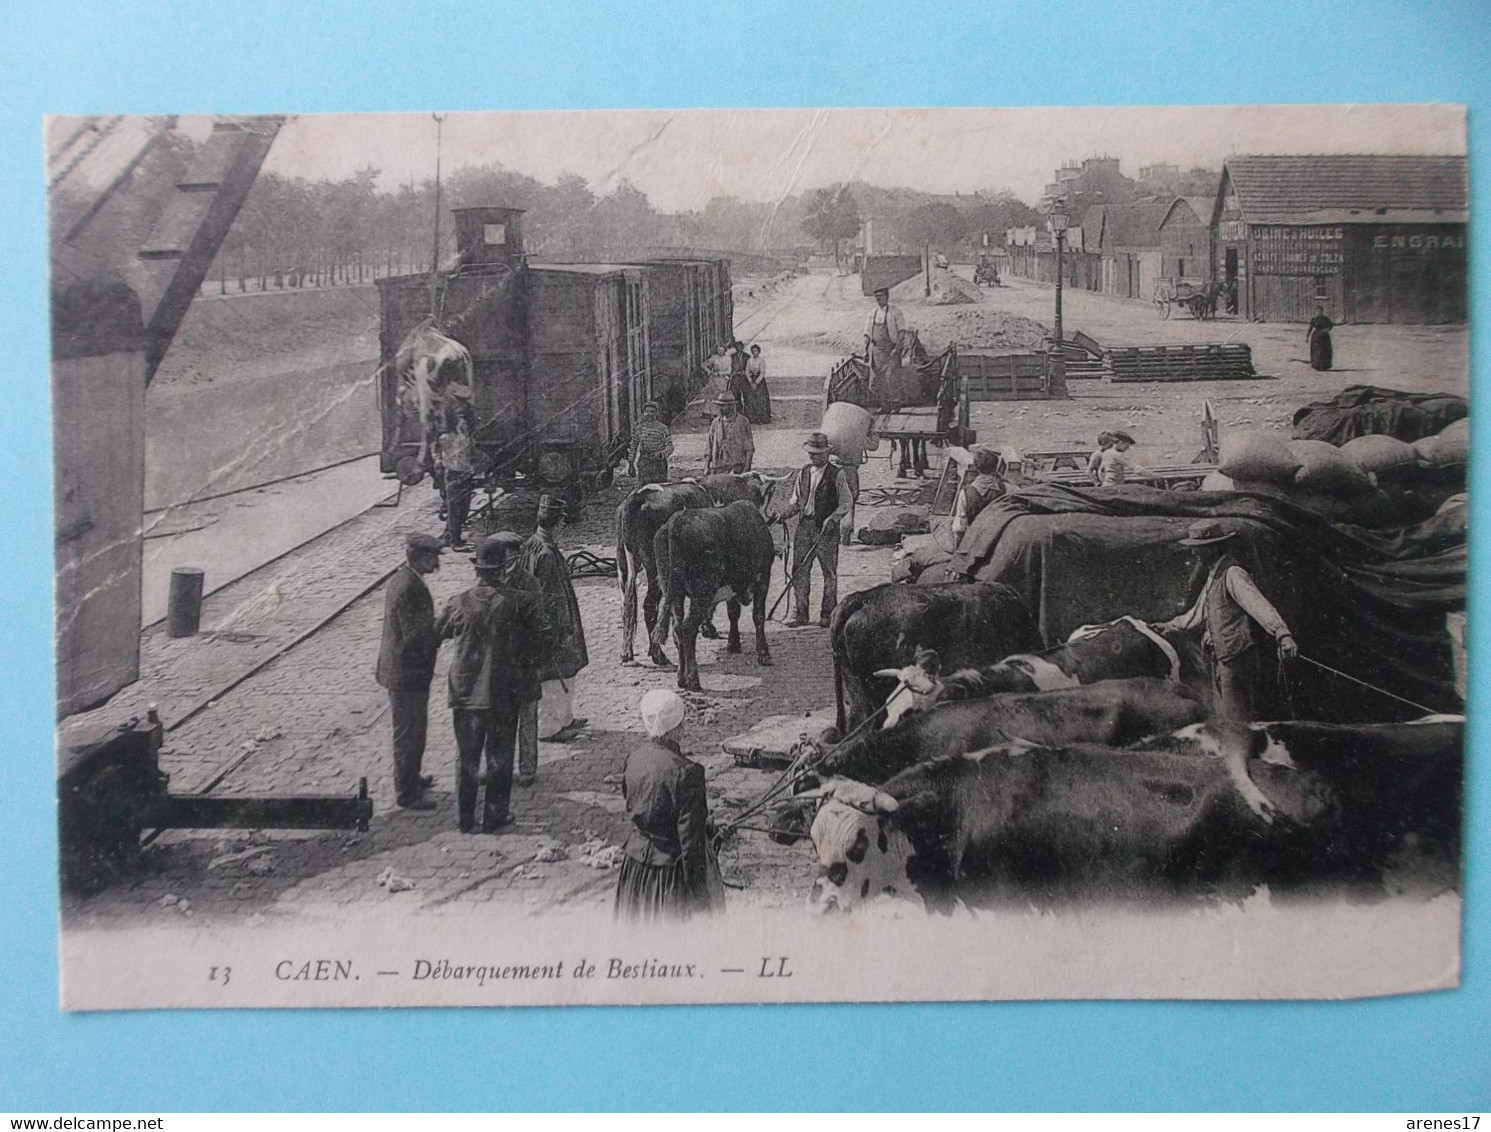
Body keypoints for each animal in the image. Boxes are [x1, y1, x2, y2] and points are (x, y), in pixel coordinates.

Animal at [614, 474, 787, 668]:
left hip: (624, 566)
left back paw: (627, 654)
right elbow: (731, 608)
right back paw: (658, 655)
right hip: (654, 573)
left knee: (627, 606)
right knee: (649, 606)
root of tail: (637, 497)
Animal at [647, 501, 775, 692]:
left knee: (677, 629)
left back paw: (681, 678)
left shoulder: (733, 589)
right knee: (687, 629)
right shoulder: (762, 578)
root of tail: (675, 522)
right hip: (702, 593)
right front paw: (764, 655)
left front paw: (733, 644)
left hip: (673, 592)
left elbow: (733, 614)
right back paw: (693, 681)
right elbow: (758, 616)